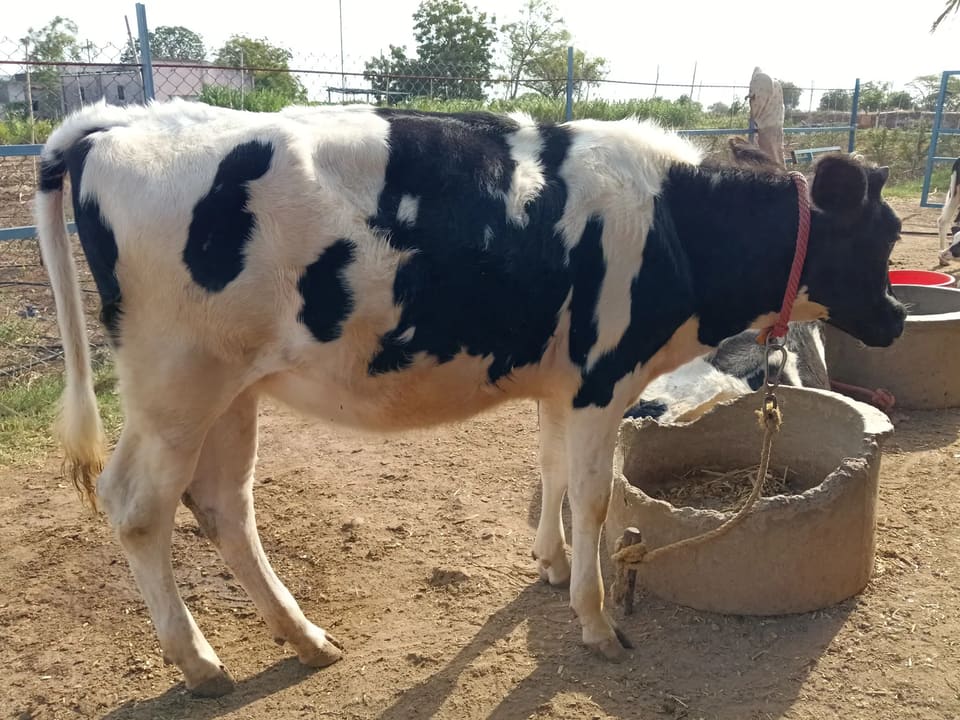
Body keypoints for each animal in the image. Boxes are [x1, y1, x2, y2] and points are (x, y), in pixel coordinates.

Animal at [35, 99, 905, 696]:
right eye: (884, 235)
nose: (897, 318)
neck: (675, 225)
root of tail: (120, 121)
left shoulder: (563, 387)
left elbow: (550, 471)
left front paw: (551, 566)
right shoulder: (602, 380)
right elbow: (592, 498)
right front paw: (596, 622)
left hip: (231, 389)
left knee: (223, 504)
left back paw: (305, 638)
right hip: (174, 385)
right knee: (138, 507)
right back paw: (201, 662)